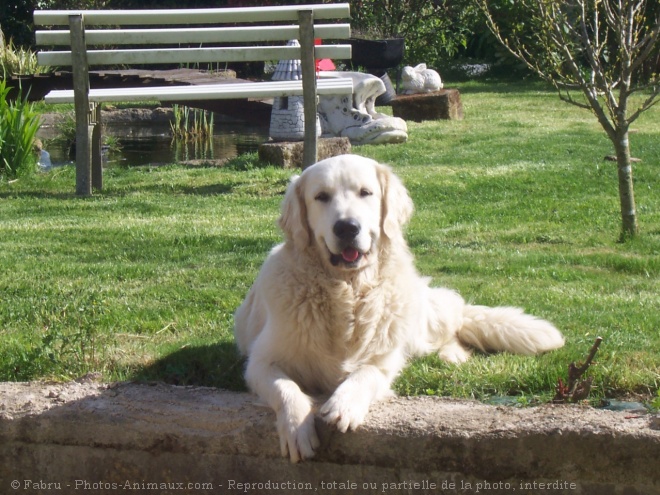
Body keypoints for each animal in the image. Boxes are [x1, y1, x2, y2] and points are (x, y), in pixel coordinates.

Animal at [235, 153, 564, 464]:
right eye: (321, 197)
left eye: (365, 192)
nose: (347, 227)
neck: (347, 292)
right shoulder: (260, 362)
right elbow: (286, 388)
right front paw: (296, 429)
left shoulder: (384, 359)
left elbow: (366, 373)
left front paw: (344, 405)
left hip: (418, 324)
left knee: (452, 325)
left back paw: (452, 355)